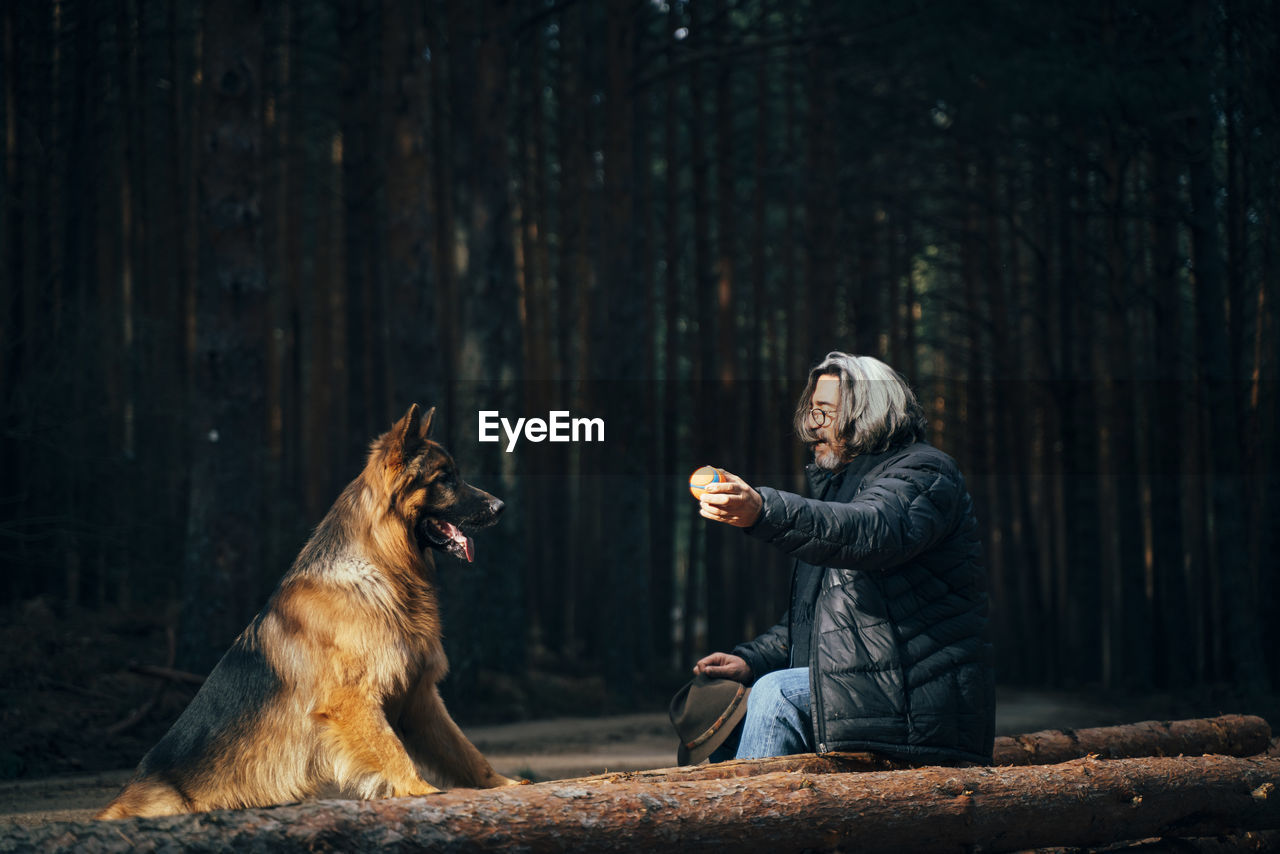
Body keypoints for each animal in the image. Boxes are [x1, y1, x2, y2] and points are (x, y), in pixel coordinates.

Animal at [97, 407, 519, 819]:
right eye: (445, 478)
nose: (502, 507)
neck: (381, 568)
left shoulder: (419, 697)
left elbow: (465, 750)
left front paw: (503, 784)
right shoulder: (354, 700)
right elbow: (392, 750)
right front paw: (421, 791)